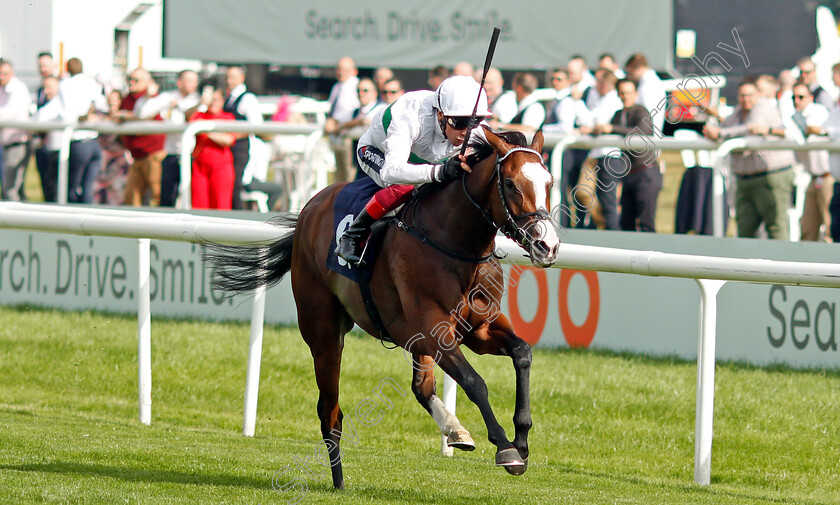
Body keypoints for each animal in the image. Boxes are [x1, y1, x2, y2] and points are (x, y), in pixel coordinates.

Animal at [206, 127, 556, 488]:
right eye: (511, 183)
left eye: (549, 182)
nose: (548, 245)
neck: (453, 241)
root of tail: (309, 208)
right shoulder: (435, 329)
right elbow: (475, 382)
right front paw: (506, 449)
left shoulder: (479, 328)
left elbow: (522, 353)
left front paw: (522, 440)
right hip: (324, 331)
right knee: (330, 410)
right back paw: (338, 481)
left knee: (421, 387)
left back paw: (454, 429)